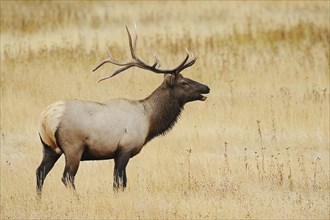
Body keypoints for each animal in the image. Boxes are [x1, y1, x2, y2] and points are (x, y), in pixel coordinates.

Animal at [36, 26, 210, 194]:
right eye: (184, 82)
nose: (207, 87)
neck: (149, 121)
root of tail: (45, 118)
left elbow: (122, 183)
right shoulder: (124, 149)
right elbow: (118, 183)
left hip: (49, 147)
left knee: (40, 172)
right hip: (73, 147)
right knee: (67, 177)